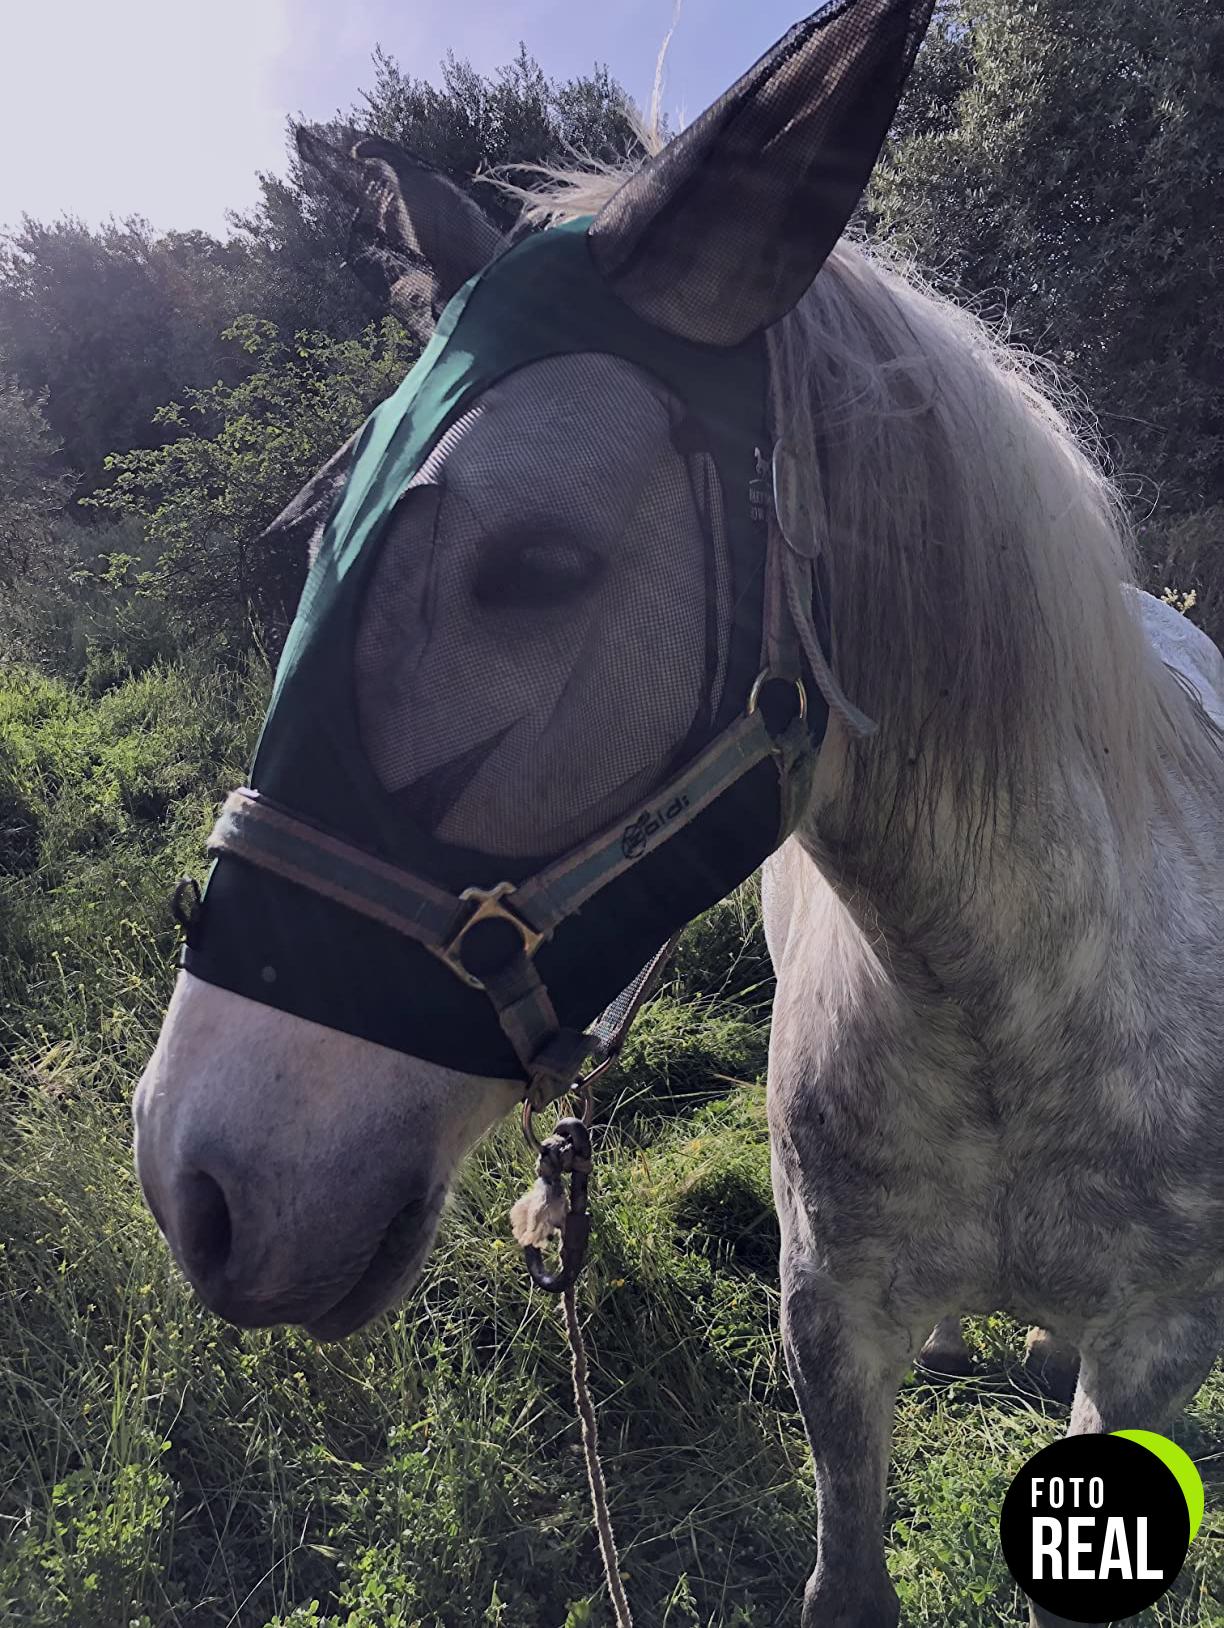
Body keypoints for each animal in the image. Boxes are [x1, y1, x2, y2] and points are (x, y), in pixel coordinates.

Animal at [131, 3, 1224, 1623]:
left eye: (537, 564)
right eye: (318, 539)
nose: (193, 1180)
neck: (1011, 1013)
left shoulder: (1159, 1346)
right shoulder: (825, 1321)